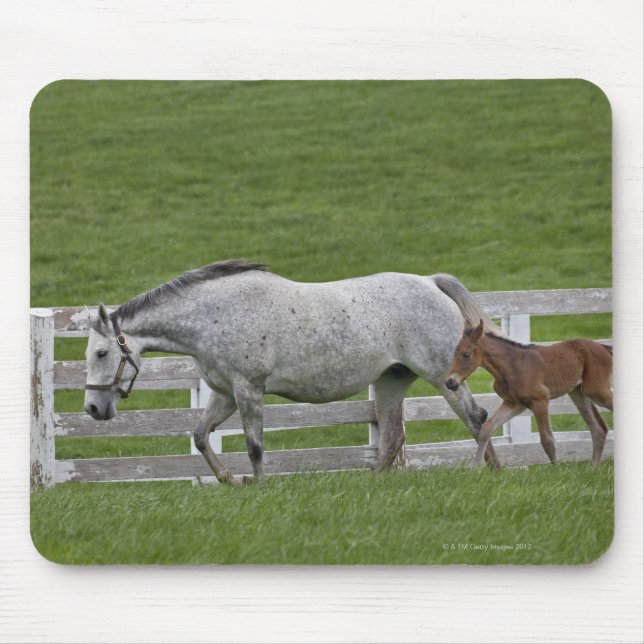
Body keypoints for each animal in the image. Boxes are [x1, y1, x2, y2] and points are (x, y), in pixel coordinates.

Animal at [84, 259, 502, 485]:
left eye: (102, 352)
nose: (92, 409)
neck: (214, 316)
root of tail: (430, 282)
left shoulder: (249, 390)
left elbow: (254, 446)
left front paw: (258, 487)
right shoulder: (226, 394)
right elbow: (201, 436)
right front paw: (230, 480)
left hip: (443, 377)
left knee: (476, 417)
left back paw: (491, 474)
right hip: (391, 381)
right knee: (392, 439)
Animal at [444, 319, 613, 466]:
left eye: (466, 354)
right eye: (454, 353)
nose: (449, 382)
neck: (511, 366)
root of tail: (603, 347)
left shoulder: (540, 400)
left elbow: (547, 440)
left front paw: (558, 472)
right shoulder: (514, 404)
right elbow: (487, 429)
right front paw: (476, 469)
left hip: (597, 390)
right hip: (579, 394)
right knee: (599, 429)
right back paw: (593, 469)